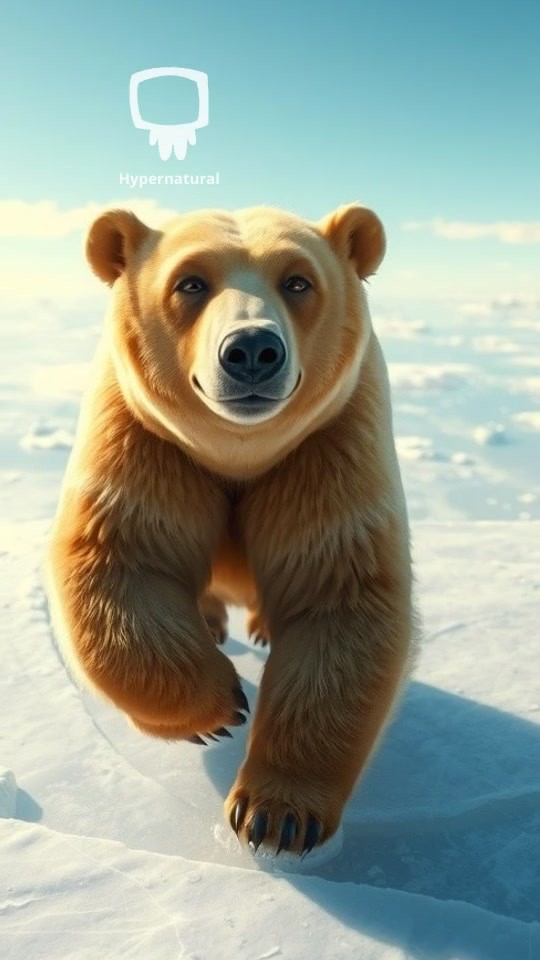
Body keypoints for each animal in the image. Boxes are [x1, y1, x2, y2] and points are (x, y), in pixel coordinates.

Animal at [45, 202, 419, 857]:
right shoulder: (146, 440)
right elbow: (119, 562)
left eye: (298, 280)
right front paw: (218, 708)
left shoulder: (330, 448)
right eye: (191, 282)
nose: (251, 349)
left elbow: (340, 597)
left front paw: (277, 817)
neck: (238, 456)